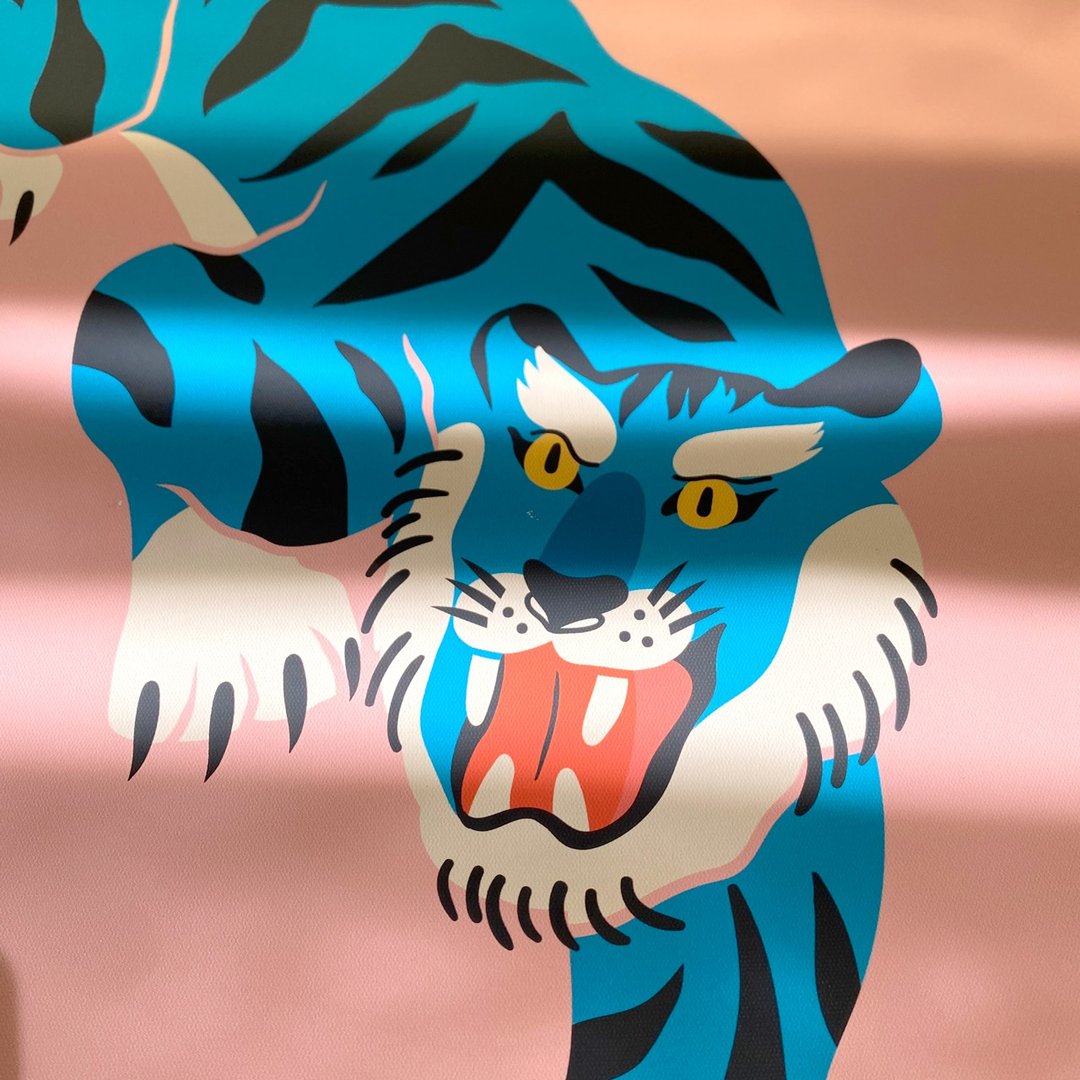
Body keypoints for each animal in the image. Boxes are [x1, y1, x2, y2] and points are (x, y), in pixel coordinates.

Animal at [0, 0, 941, 1076]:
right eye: (551, 463)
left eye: (709, 503)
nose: (568, 589)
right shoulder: (216, 333)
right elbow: (125, 380)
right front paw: (224, 637)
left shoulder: (787, 851)